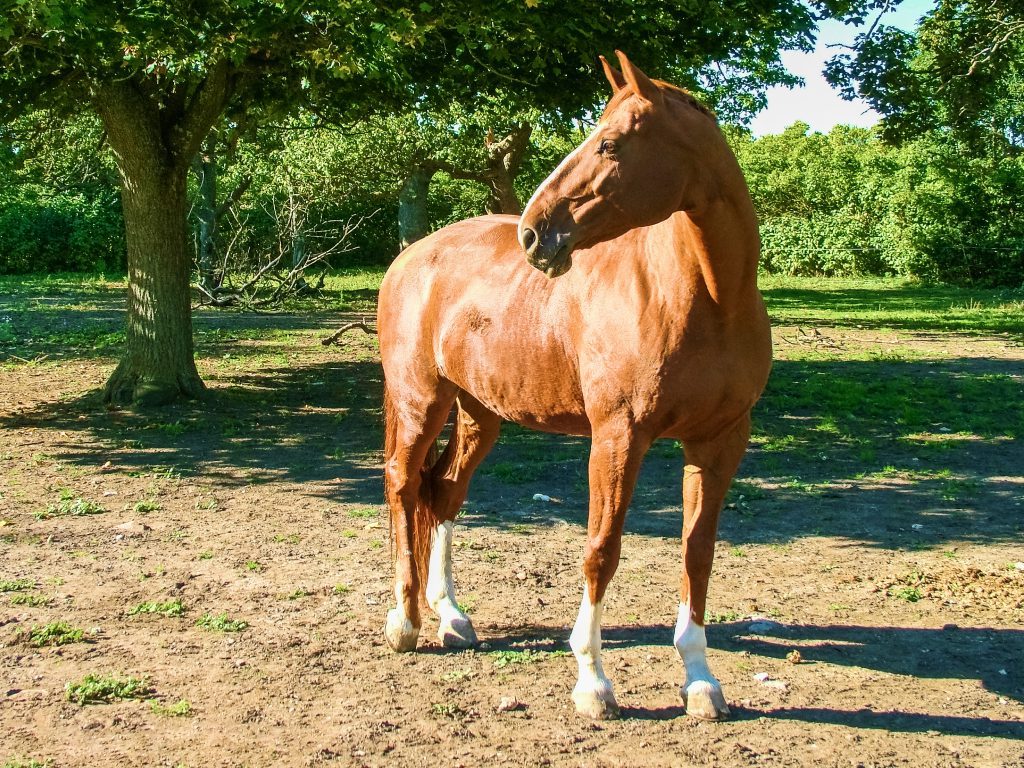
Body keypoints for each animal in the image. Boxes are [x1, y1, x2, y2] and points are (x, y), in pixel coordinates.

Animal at [376, 50, 772, 721]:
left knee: (443, 493)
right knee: (404, 487)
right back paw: (404, 622)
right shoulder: (618, 437)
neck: (706, 298)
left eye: (609, 143)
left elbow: (698, 555)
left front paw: (700, 680)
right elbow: (601, 549)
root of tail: (409, 257)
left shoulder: (720, 443)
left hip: (480, 415)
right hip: (419, 403)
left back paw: (451, 615)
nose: (534, 234)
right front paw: (592, 681)